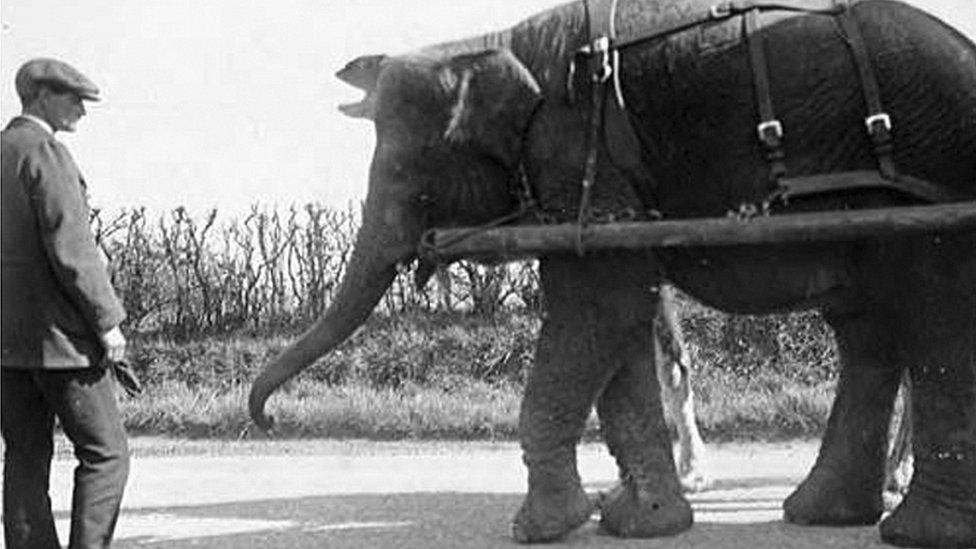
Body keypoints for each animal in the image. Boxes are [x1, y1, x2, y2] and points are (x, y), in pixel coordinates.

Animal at [252, 0, 976, 544]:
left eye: (406, 172)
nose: (266, 422)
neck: (490, 43)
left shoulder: (578, 154)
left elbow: (599, 309)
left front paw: (544, 528)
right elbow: (619, 322)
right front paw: (639, 522)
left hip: (928, 175)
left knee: (932, 318)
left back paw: (911, 529)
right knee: (868, 330)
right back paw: (824, 513)